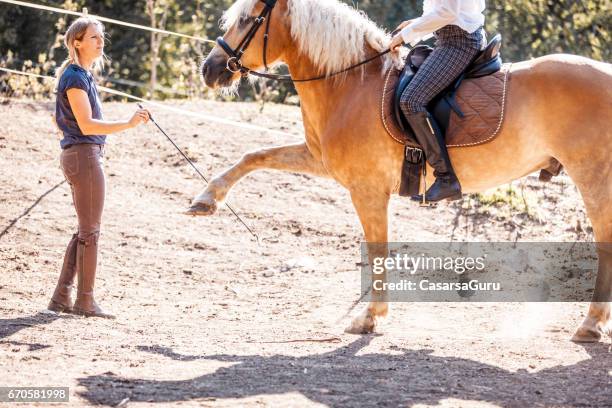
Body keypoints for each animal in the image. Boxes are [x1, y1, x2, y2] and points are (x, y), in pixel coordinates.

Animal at [190, 0, 612, 342]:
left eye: (247, 20)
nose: (209, 70)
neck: (350, 83)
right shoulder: (319, 160)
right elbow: (255, 155)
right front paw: (207, 199)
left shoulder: (367, 190)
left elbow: (377, 249)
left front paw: (370, 317)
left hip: (592, 177)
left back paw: (590, 324)